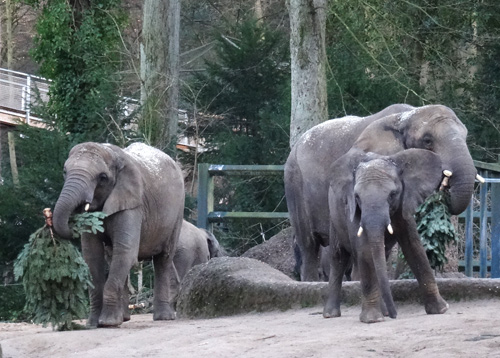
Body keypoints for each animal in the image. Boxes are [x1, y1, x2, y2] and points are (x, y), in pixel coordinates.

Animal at [52, 142, 186, 328]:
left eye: (102, 177)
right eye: (65, 172)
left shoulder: (132, 203)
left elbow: (126, 251)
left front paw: (108, 323)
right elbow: (92, 256)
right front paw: (93, 324)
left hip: (177, 212)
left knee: (163, 258)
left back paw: (163, 317)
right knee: (113, 256)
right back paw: (125, 318)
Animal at [324, 147, 446, 324]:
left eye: (392, 194)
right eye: (357, 197)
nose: (395, 315)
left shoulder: (404, 204)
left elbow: (414, 247)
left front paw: (440, 310)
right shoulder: (354, 210)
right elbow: (365, 251)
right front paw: (372, 320)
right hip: (333, 217)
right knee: (338, 257)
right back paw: (331, 314)